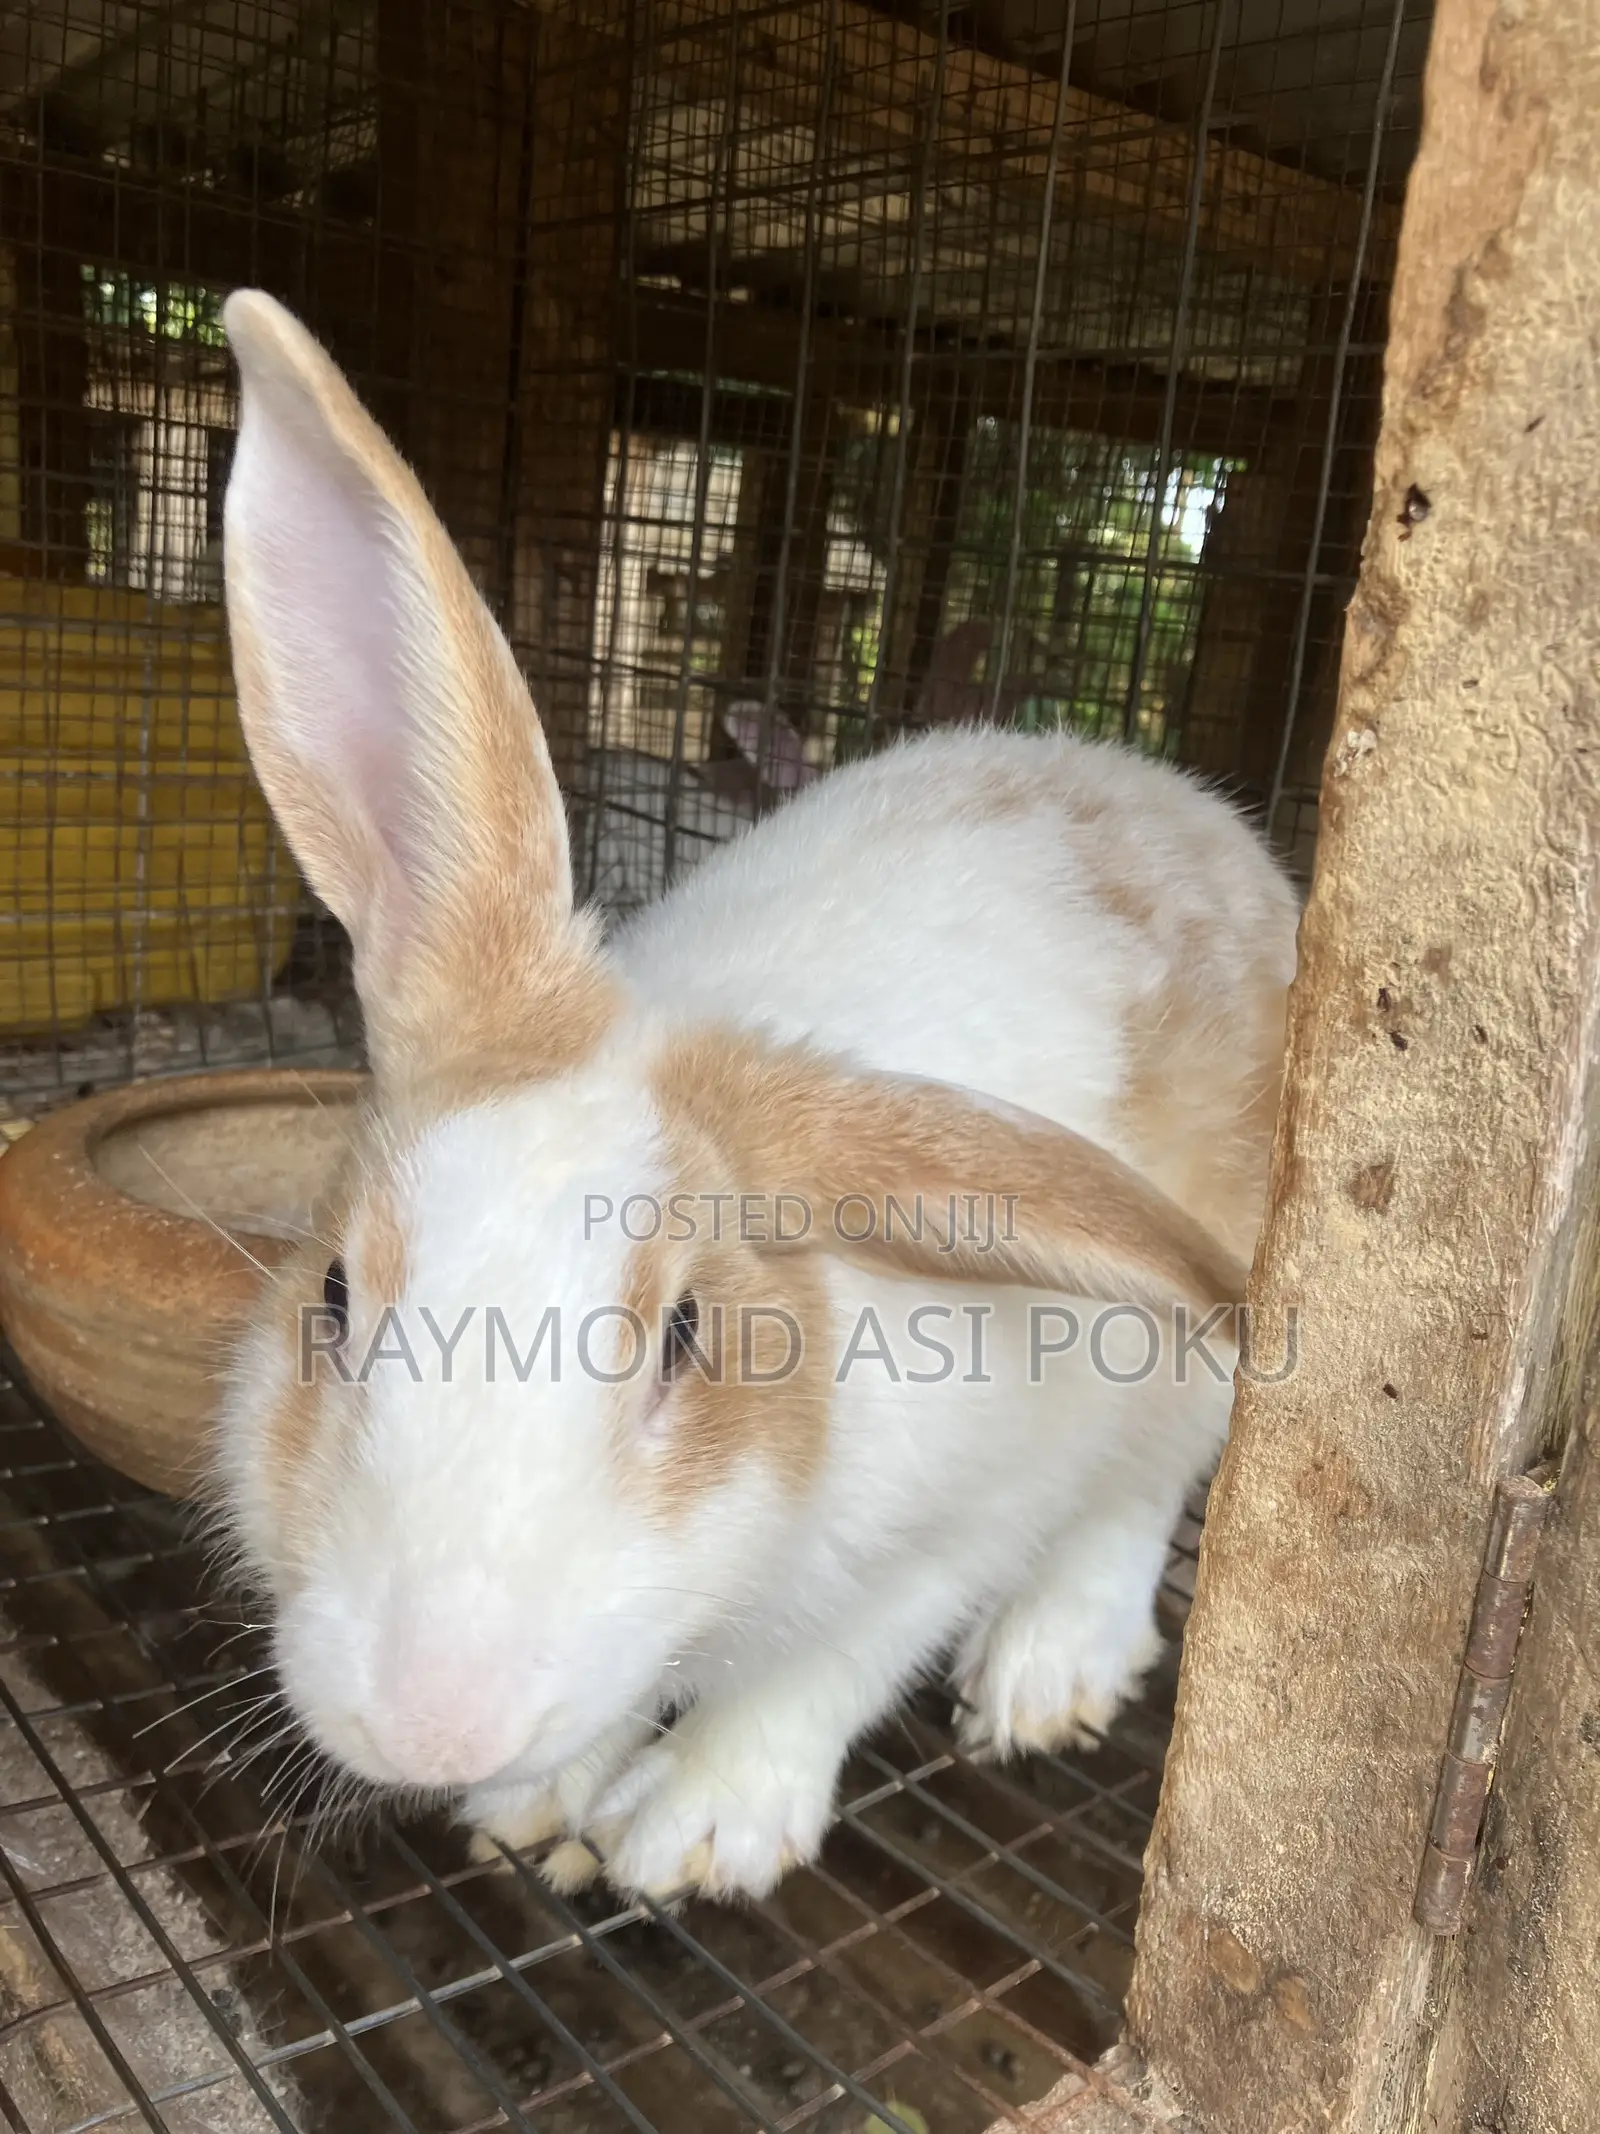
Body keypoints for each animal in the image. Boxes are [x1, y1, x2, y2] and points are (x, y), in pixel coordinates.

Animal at [213, 290, 1299, 1908]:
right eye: (333, 1299)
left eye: (687, 1336)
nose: (432, 1722)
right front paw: (533, 1802)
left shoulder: (948, 1524)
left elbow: (823, 1669)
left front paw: (695, 1830)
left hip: (1192, 1366)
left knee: (1133, 1503)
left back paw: (1043, 1678)